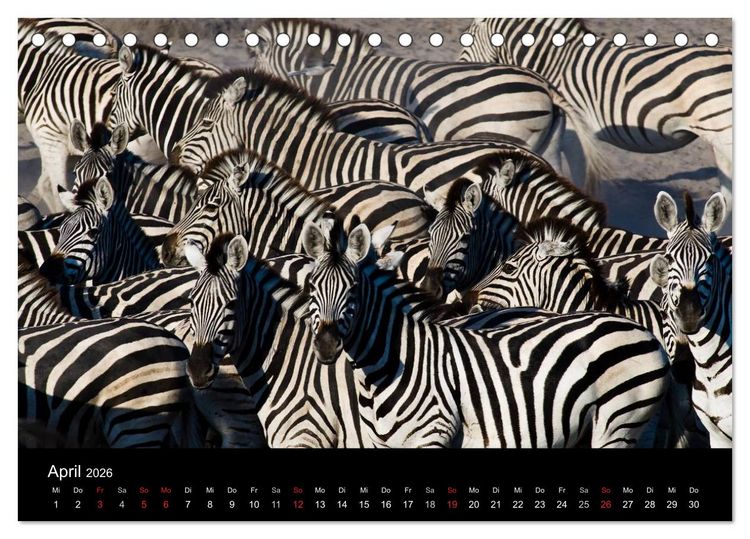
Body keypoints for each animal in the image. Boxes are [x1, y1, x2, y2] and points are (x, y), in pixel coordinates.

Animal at [300, 220, 668, 447]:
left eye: (353, 290)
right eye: (311, 286)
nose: (326, 345)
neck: (395, 358)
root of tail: (643, 331)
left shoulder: (435, 434)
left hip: (618, 423)